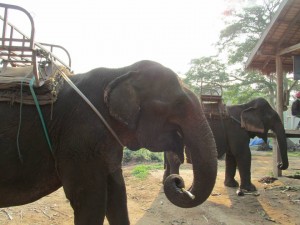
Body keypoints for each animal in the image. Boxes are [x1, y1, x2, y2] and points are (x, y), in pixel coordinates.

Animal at [0, 60, 217, 225]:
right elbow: (89, 200)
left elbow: (117, 194)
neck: (121, 72)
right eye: (179, 105)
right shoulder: (80, 135)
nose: (179, 183)